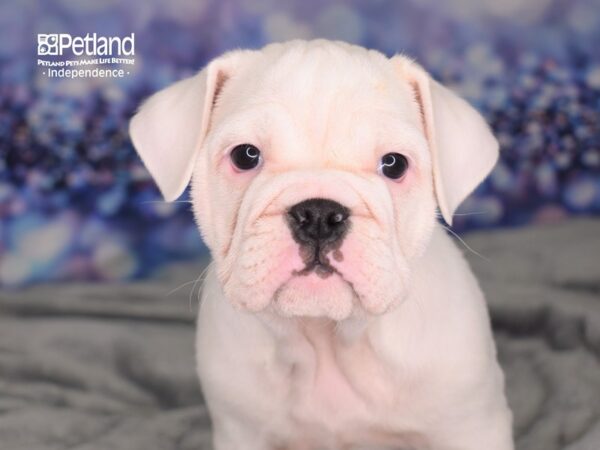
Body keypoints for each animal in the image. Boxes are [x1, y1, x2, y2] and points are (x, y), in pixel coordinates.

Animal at [129, 40, 512, 448]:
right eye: (245, 155)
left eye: (394, 164)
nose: (318, 214)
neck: (328, 340)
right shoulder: (241, 432)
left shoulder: (471, 428)